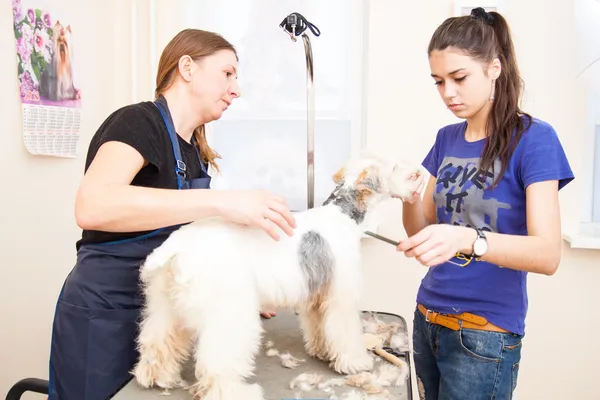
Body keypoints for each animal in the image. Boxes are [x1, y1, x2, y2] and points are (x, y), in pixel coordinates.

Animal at [131, 152, 422, 398]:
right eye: (393, 165)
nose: (418, 174)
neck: (344, 214)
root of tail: (175, 248)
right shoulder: (341, 297)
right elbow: (345, 334)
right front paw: (355, 362)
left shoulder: (316, 296)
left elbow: (319, 328)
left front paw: (321, 351)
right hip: (228, 315)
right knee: (217, 363)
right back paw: (238, 392)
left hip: (165, 309)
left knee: (156, 343)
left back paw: (156, 377)